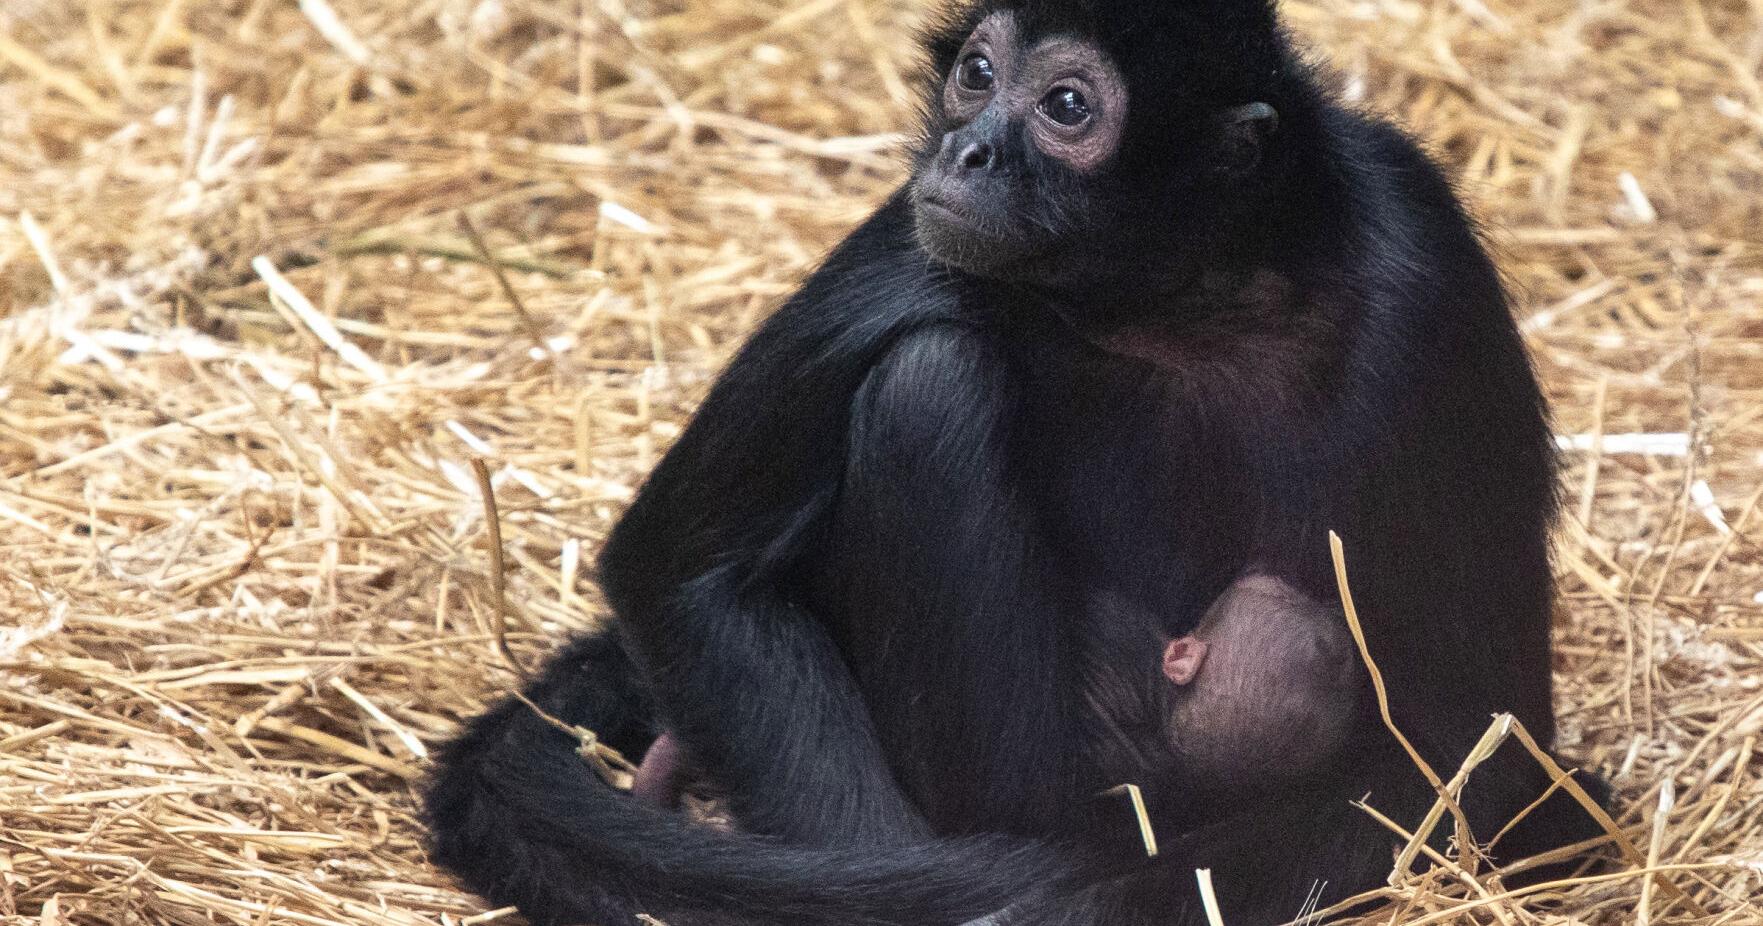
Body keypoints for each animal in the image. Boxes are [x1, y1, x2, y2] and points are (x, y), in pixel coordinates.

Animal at [424, 1, 1609, 924]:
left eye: (1067, 106)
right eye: (979, 75)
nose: (971, 150)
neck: (1184, 298)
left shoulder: (1422, 259)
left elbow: (1477, 748)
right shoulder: (920, 243)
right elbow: (681, 573)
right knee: (932, 373)